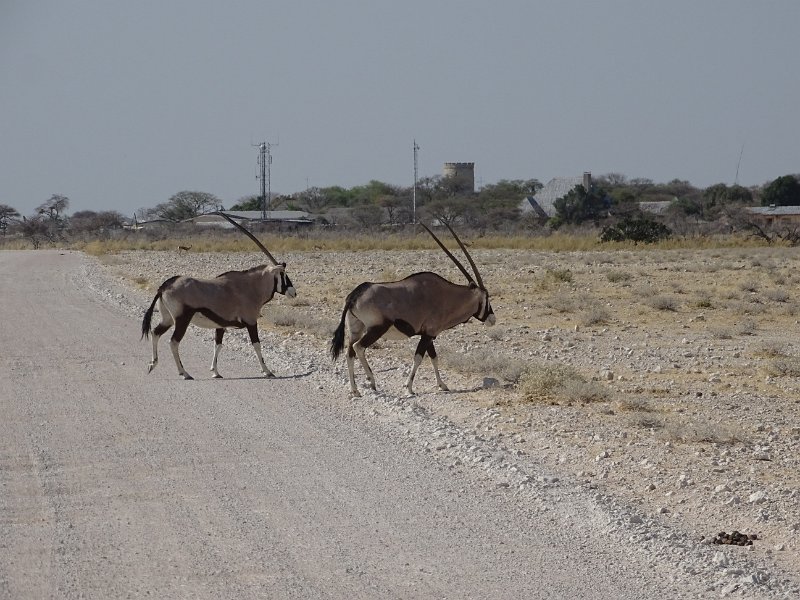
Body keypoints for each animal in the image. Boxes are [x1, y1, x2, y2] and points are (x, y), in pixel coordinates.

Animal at [142, 213, 296, 378]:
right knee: (173, 342)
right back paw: (184, 373)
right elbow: (257, 345)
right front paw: (267, 371)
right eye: (283, 274)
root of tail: (164, 286)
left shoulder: (221, 325)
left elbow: (218, 345)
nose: (293, 292)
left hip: (168, 319)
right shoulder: (251, 322)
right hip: (182, 319)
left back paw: (152, 364)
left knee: (155, 332)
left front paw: (215, 372)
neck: (250, 286)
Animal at [330, 223, 494, 396]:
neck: (446, 295)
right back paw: (372, 382)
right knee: (358, 347)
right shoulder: (428, 334)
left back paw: (355, 390)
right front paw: (409, 387)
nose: (492, 319)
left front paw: (442, 385)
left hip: (356, 329)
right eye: (487, 297)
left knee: (349, 353)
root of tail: (354, 295)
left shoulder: (429, 335)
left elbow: (434, 358)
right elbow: (419, 358)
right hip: (377, 329)